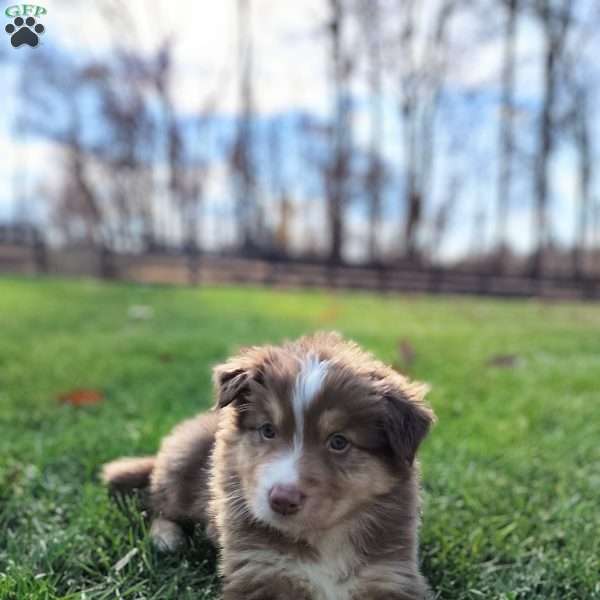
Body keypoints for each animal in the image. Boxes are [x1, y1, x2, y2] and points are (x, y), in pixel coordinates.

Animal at [101, 332, 434, 600]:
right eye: (268, 430)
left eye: (339, 442)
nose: (282, 500)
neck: (321, 540)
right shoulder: (259, 570)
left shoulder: (389, 574)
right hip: (182, 464)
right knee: (157, 506)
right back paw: (168, 537)